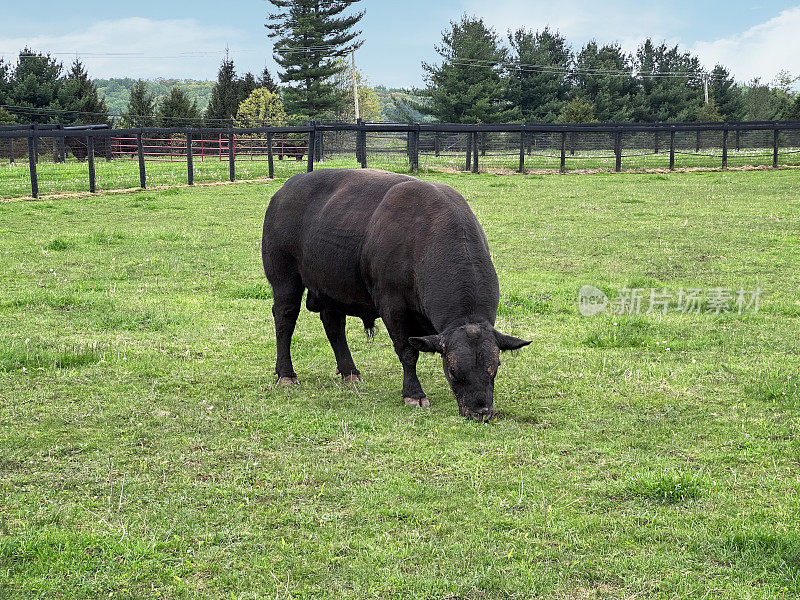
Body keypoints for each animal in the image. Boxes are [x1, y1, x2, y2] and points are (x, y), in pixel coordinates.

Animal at [260, 166, 528, 420]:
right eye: (452, 371)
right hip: (285, 280)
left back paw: (350, 372)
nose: (480, 411)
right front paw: (414, 393)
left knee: (334, 326)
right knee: (285, 320)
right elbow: (407, 352)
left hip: (331, 287)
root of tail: (285, 190)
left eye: (495, 366)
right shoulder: (393, 307)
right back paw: (286, 374)